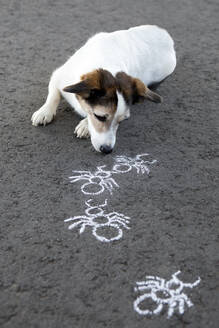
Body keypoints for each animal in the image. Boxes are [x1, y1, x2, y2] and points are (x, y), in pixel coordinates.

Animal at [31, 25, 176, 154]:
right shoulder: (59, 76)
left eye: (122, 120)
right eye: (99, 117)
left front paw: (85, 125)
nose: (107, 150)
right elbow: (53, 95)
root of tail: (166, 36)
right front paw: (45, 111)